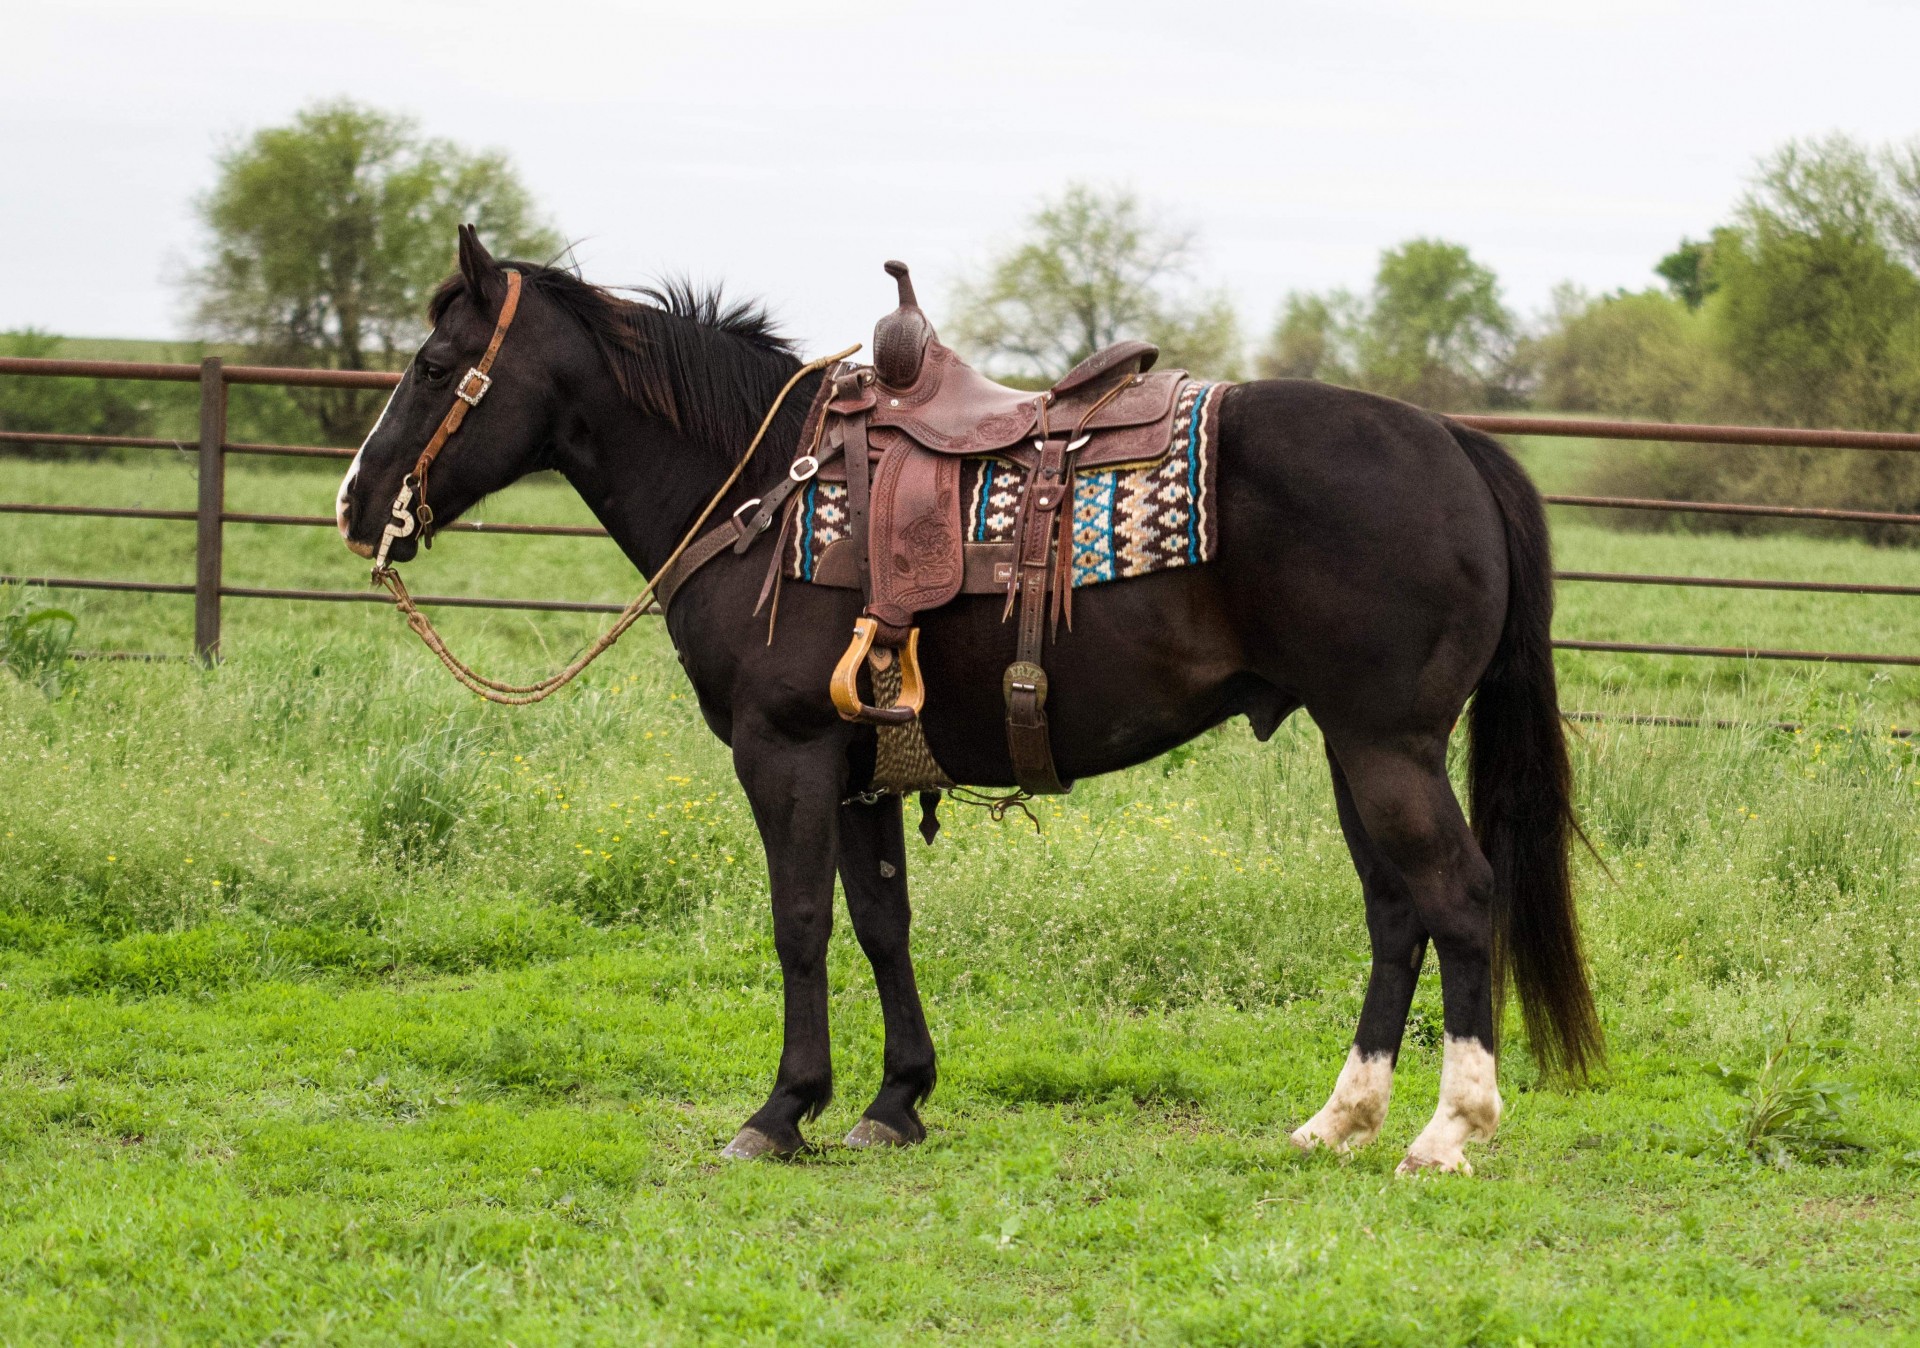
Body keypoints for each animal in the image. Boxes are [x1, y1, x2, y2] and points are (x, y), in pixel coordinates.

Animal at [337, 229, 1597, 1175]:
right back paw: (1342, 1117)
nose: (356, 502)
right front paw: (895, 1100)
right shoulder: (862, 767)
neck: (762, 488)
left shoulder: (785, 750)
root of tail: (1454, 442)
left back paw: (1448, 1129)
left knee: (1458, 895)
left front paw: (780, 1110)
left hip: (1388, 746)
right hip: (1354, 746)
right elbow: (881, 923)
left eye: (436, 365)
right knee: (1395, 913)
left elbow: (800, 923)